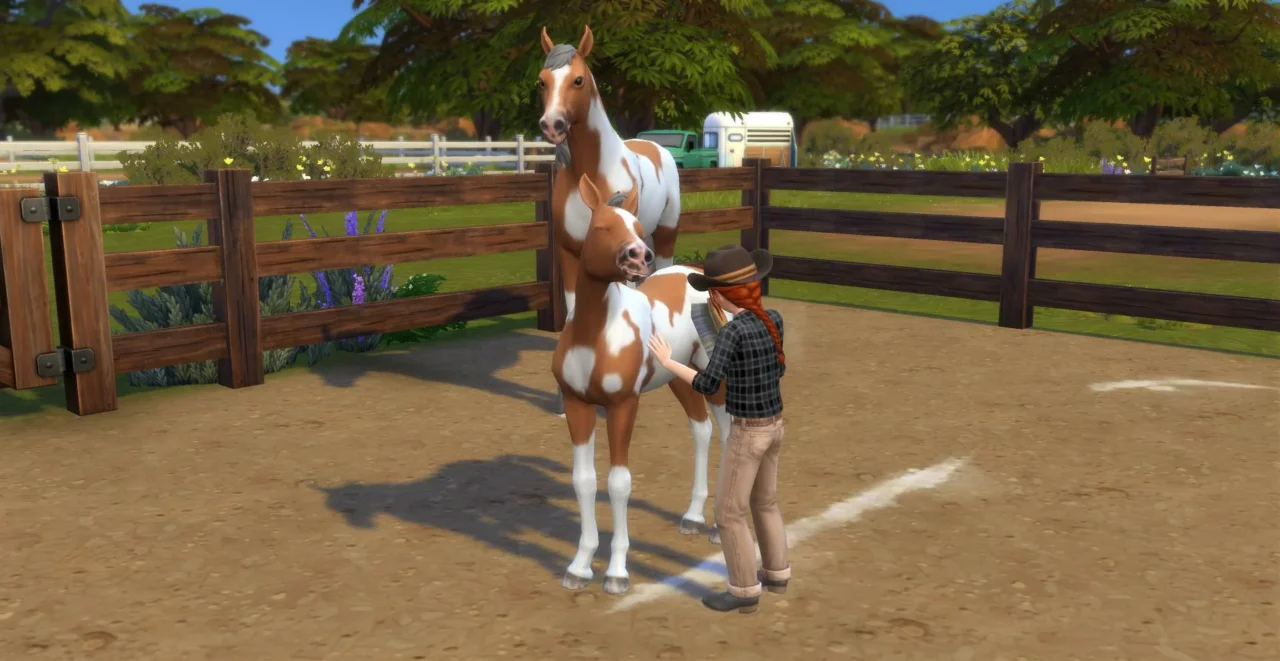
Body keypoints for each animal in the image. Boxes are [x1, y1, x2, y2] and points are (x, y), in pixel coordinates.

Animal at [550, 174, 730, 595]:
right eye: (601, 227)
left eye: (636, 226)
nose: (639, 257)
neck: (595, 335)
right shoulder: (578, 404)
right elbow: (584, 481)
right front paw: (579, 567)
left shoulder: (623, 405)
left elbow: (619, 483)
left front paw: (617, 573)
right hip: (681, 377)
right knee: (701, 429)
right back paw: (693, 517)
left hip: (715, 378)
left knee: (731, 434)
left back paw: (719, 528)